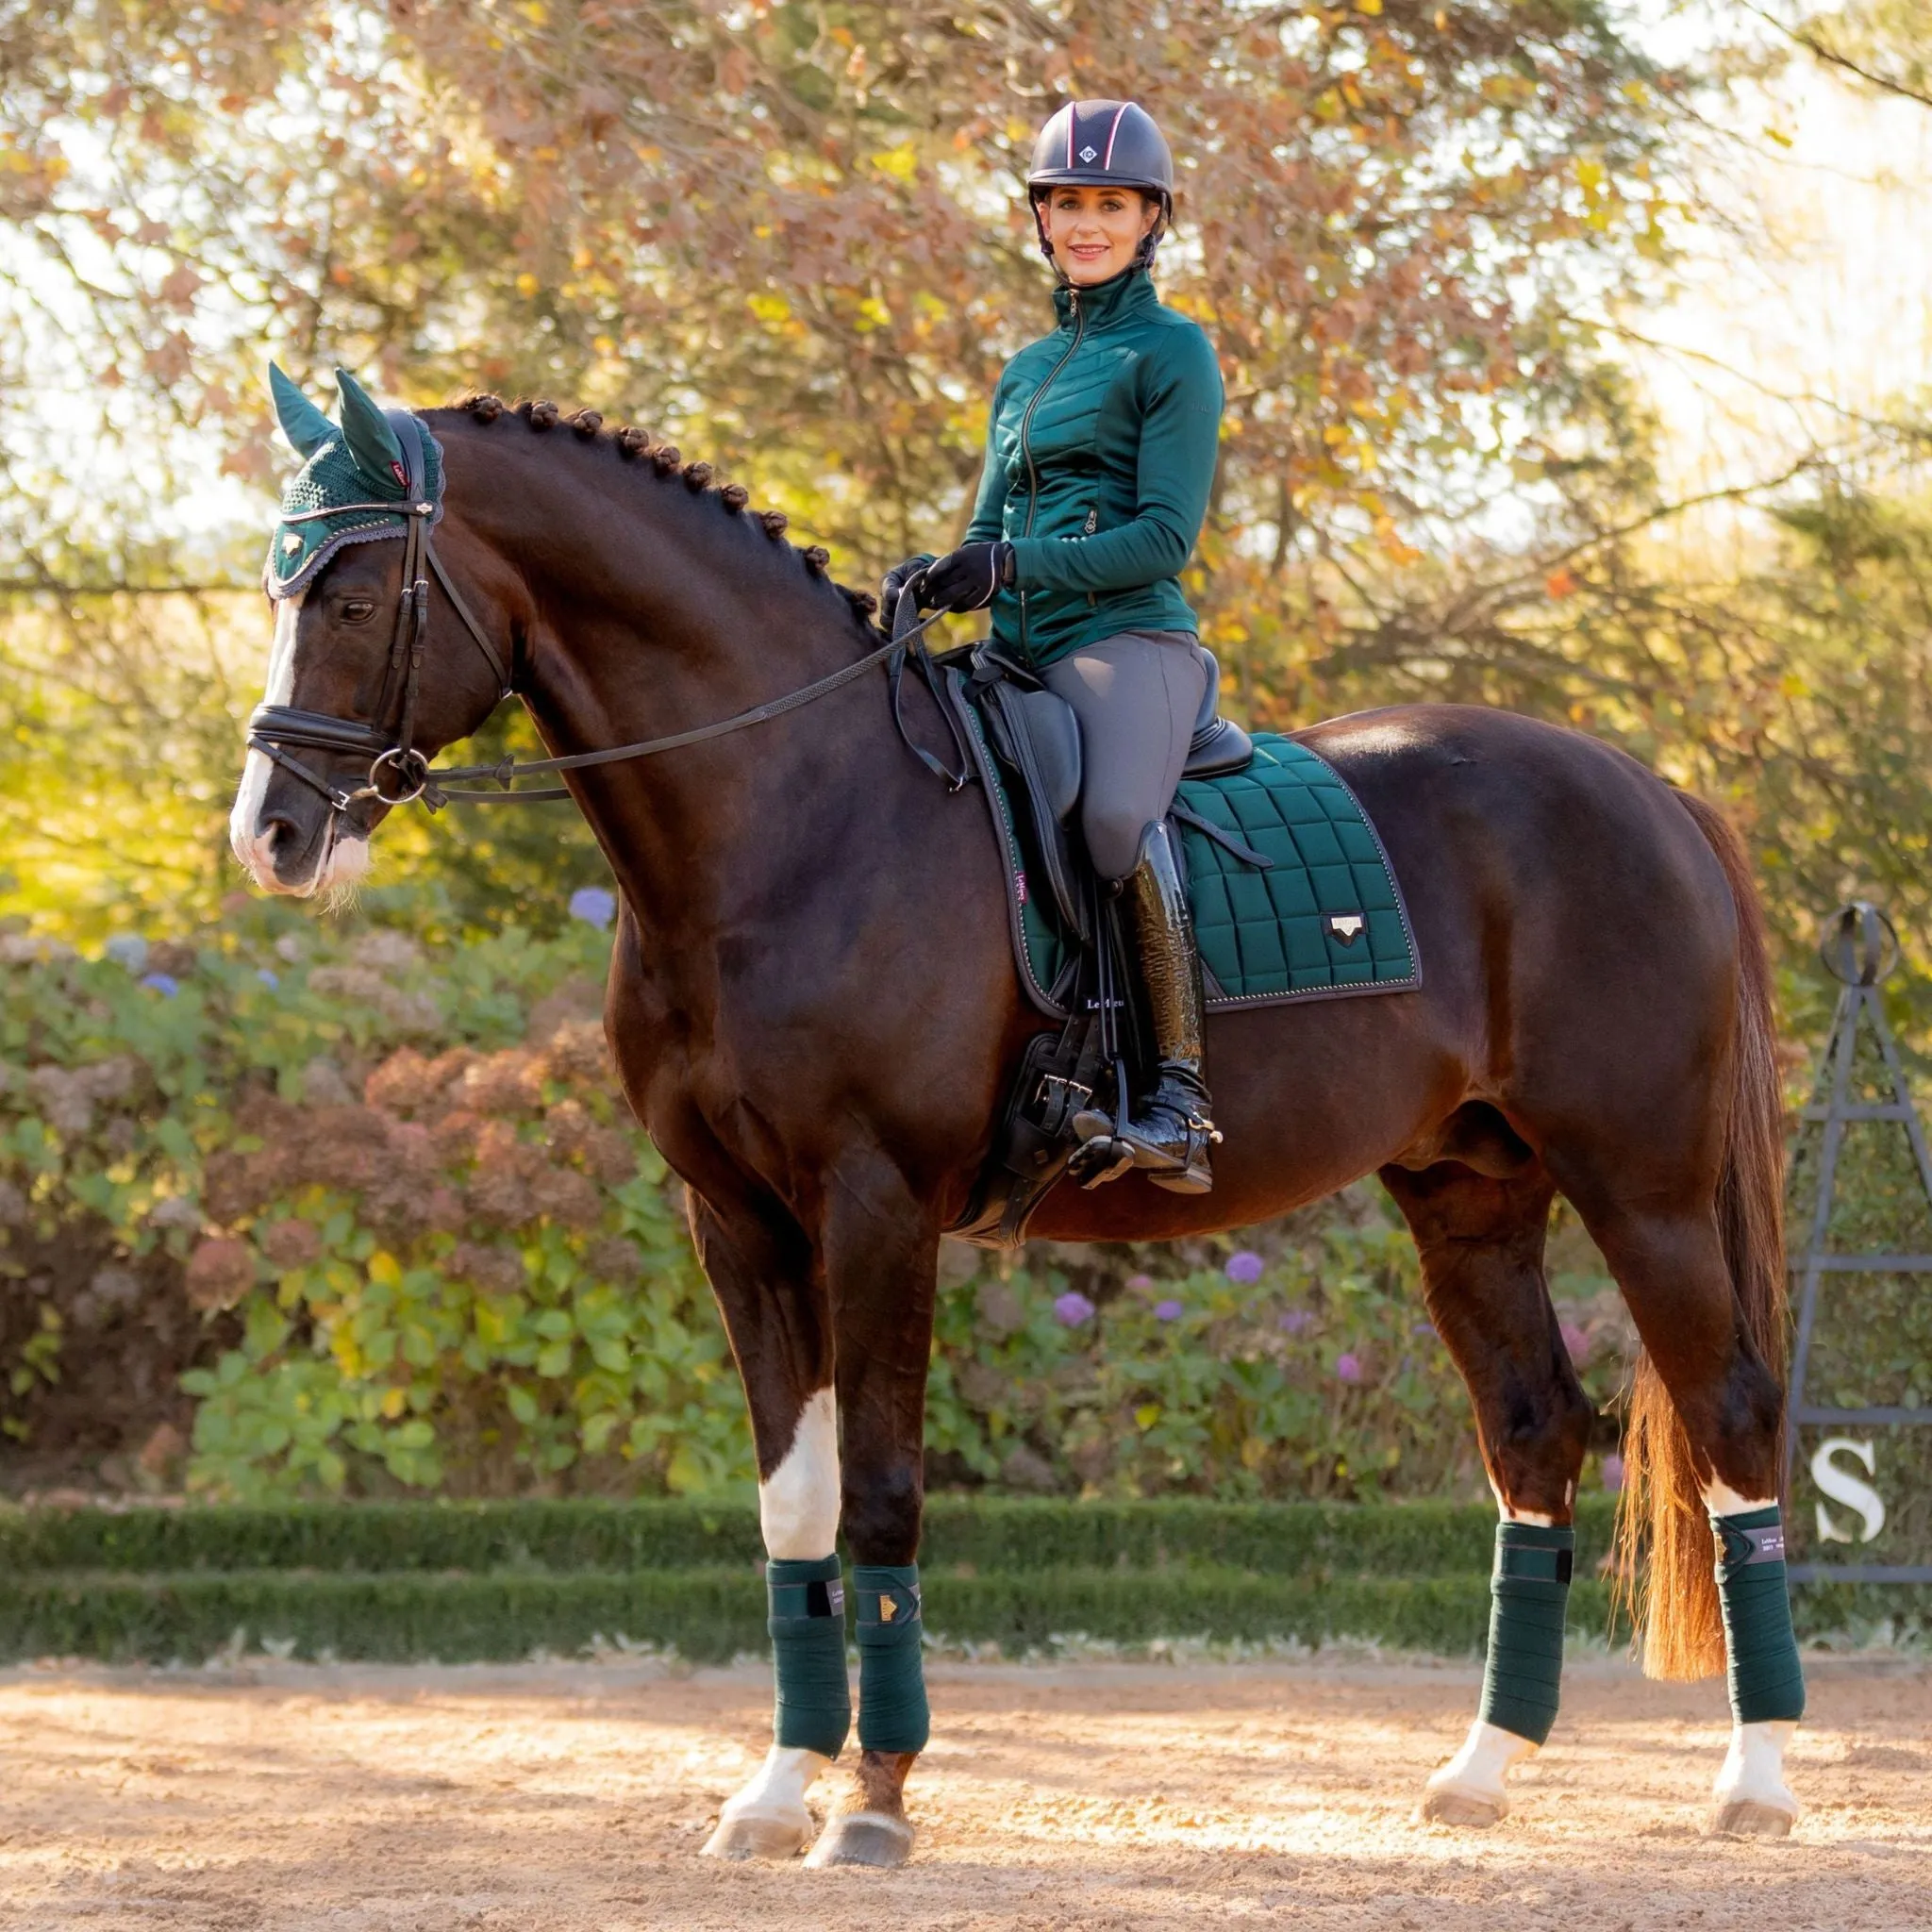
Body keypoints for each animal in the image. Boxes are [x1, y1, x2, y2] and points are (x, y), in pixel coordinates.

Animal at [233, 376, 1800, 1870]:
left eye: (355, 599)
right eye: (281, 589)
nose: (271, 836)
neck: (794, 816)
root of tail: (1643, 784)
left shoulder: (874, 1207)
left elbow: (880, 1499)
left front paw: (875, 1804)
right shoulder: (738, 1224)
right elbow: (796, 1513)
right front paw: (778, 1791)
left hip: (1643, 1189)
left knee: (1732, 1416)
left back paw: (1755, 1781)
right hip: (1470, 1195)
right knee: (1535, 1433)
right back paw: (1482, 1771)